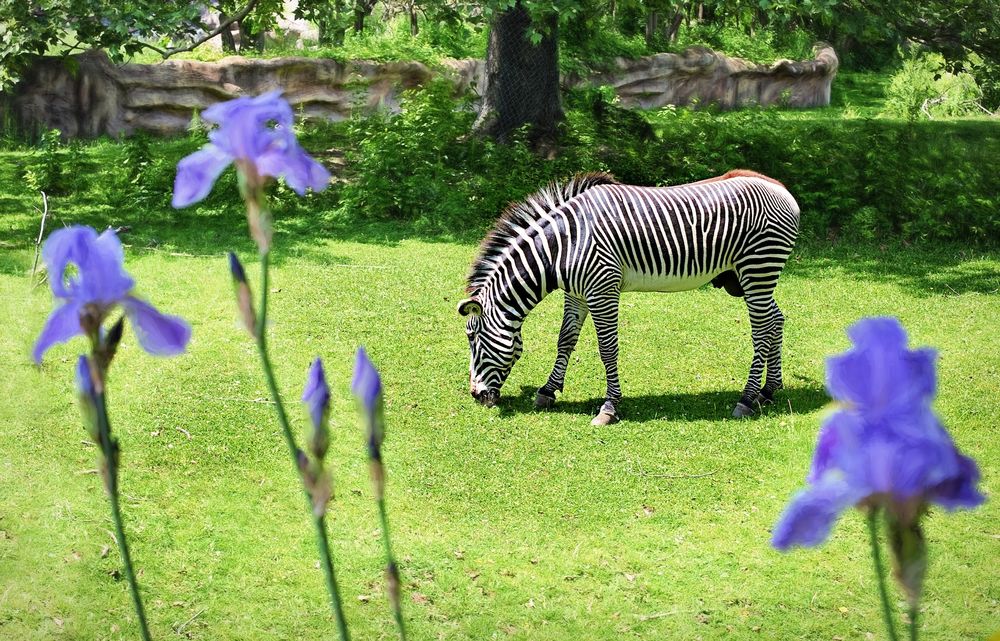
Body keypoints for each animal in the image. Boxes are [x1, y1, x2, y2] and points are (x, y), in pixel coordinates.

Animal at [458, 169, 800, 424]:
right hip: (751, 276)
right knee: (776, 320)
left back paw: (747, 398)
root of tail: (779, 186)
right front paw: (548, 391)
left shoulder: (602, 289)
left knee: (762, 330)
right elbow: (565, 340)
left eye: (473, 338)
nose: (476, 396)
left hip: (758, 267)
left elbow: (608, 349)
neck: (562, 246)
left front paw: (609, 407)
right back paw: (769, 390)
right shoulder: (576, 293)